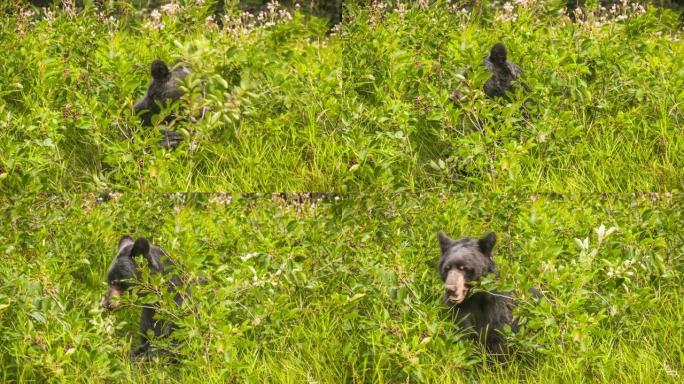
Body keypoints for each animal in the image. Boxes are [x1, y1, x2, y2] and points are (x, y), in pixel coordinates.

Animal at [436, 230, 516, 358]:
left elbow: (499, 340)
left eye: (463, 268)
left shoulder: (498, 310)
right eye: (447, 268)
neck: (474, 298)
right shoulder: (455, 311)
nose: (450, 289)